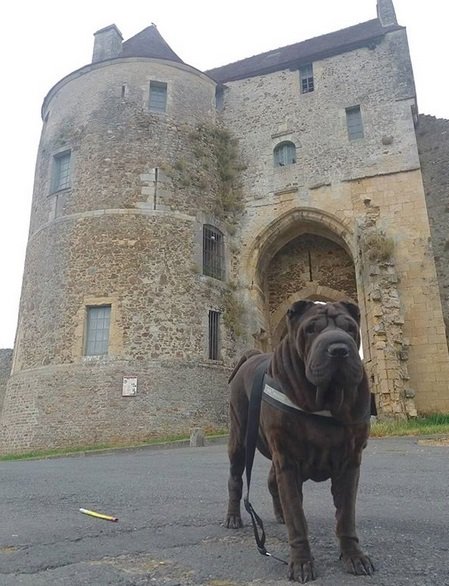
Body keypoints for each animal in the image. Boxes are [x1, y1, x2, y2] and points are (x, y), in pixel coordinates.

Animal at [226, 298, 372, 580]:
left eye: (350, 328)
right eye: (311, 329)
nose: (339, 348)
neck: (325, 401)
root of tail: (252, 355)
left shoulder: (350, 462)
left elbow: (346, 515)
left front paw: (354, 556)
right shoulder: (289, 462)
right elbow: (297, 518)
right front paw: (302, 562)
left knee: (272, 482)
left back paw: (279, 514)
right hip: (239, 441)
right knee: (236, 480)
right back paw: (233, 518)